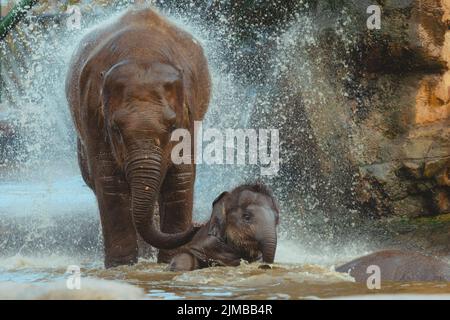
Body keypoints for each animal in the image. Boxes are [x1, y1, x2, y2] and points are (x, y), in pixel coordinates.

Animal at [66, 7, 211, 268]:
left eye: (173, 126)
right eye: (115, 129)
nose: (198, 225)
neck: (142, 53)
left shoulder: (191, 114)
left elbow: (180, 178)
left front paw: (169, 261)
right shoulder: (92, 114)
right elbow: (109, 181)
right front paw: (122, 266)